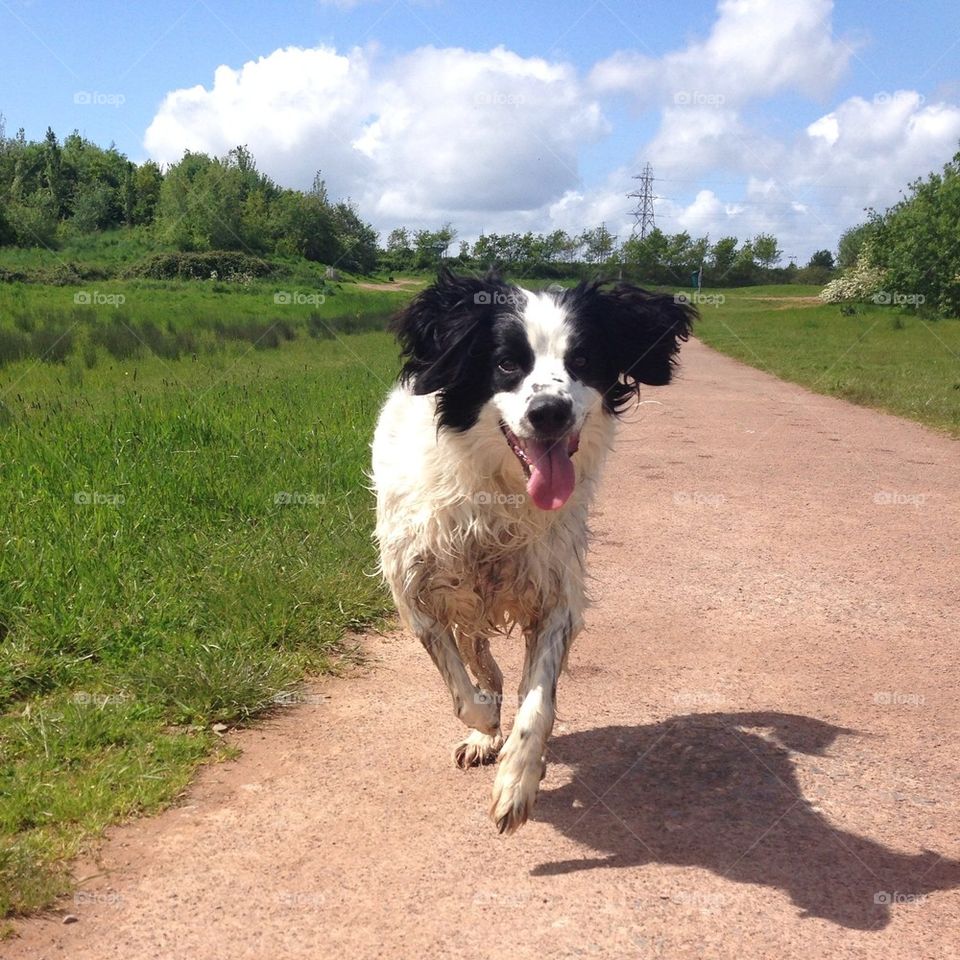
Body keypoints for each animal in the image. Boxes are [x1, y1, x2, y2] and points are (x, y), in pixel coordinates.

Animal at [372, 270, 692, 832]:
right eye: (506, 363)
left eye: (582, 359)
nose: (549, 412)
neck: (496, 494)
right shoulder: (417, 597)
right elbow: (463, 693)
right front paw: (485, 724)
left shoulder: (556, 600)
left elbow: (536, 701)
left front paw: (518, 778)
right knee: (480, 663)